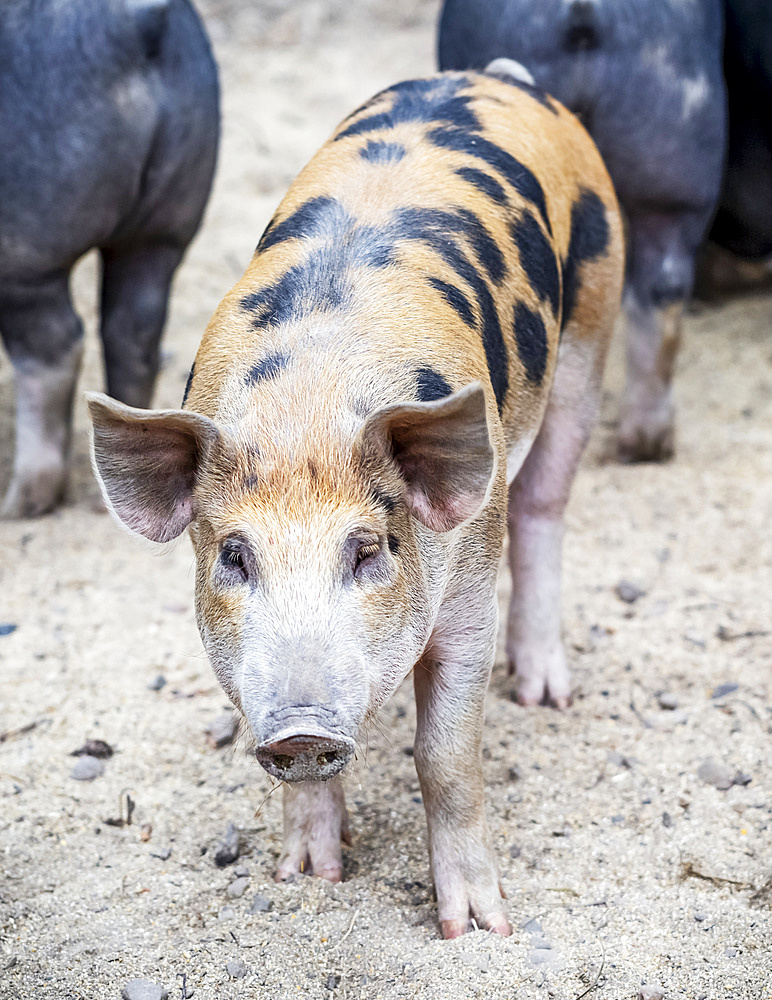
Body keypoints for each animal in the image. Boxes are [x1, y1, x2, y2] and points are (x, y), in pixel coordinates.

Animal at [0, 0, 217, 516]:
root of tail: (135, 24)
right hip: (162, 232)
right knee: (133, 328)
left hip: (26, 254)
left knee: (54, 348)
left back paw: (18, 506)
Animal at [87, 68, 624, 936]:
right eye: (234, 556)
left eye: (368, 550)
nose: (302, 728)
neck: (306, 404)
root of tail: (499, 77)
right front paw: (309, 877)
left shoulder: (470, 577)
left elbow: (445, 756)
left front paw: (476, 929)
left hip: (590, 334)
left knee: (546, 503)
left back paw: (544, 694)